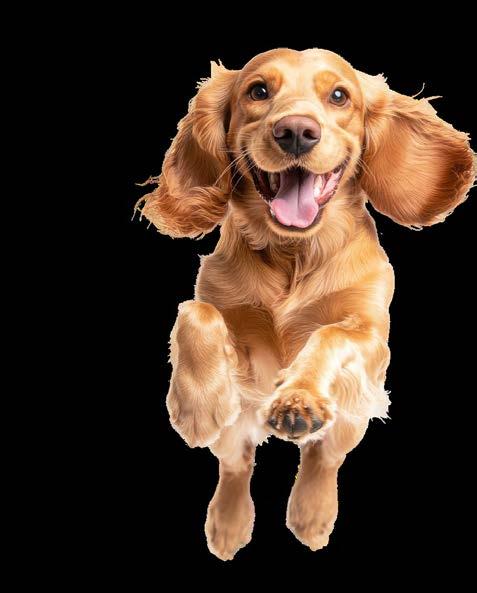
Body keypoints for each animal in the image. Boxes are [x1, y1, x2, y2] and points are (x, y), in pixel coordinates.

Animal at [136, 48, 475, 560]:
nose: (296, 130)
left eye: (339, 96)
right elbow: (193, 312)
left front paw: (298, 398)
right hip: (237, 429)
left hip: (351, 419)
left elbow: (329, 334)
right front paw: (196, 404)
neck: (294, 253)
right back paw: (228, 523)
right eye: (258, 90)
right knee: (236, 465)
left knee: (322, 459)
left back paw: (311, 514)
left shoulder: (372, 342)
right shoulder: (238, 351)